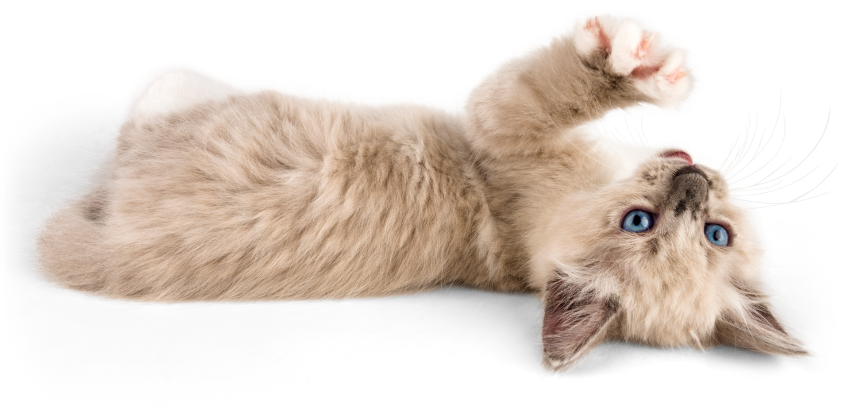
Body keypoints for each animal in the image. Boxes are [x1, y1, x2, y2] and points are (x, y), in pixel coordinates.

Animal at [22, 9, 832, 375]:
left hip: (160, 121)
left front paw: (642, 56)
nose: (693, 186)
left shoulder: (498, 117)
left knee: (151, 91)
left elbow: (554, 73)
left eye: (706, 234)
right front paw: (662, 64)